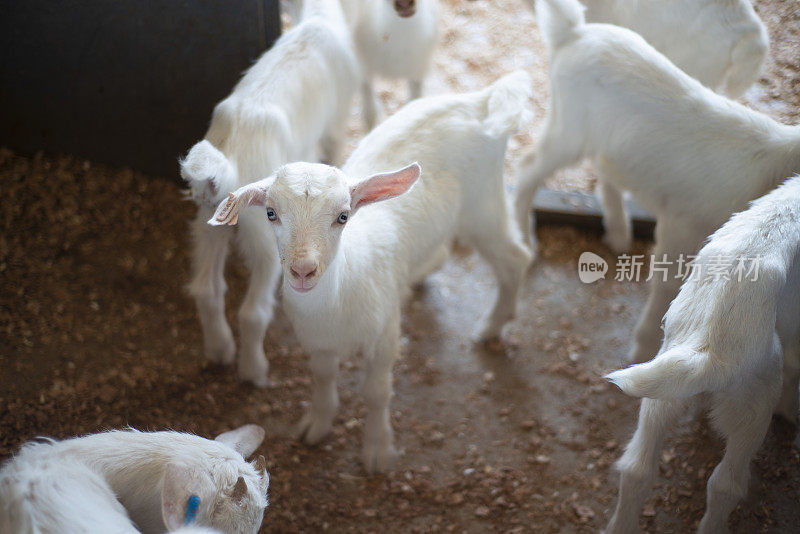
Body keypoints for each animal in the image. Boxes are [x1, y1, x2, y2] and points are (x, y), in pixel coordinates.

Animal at [183, 0, 358, 388]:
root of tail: (228, 163)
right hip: (265, 242)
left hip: (207, 223)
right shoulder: (336, 122)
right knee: (252, 312)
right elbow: (335, 152)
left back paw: (219, 350)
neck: (319, 16)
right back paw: (253, 371)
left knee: (206, 290)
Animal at [212, 70, 536, 474]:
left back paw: (491, 326)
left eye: (343, 216)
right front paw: (317, 423)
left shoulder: (385, 334)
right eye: (270, 213)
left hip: (483, 206)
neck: (339, 296)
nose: (303, 270)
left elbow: (377, 392)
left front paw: (378, 450)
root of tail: (481, 100)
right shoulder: (317, 340)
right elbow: (323, 378)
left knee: (516, 258)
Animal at [512, 0, 800, 364]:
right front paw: (641, 352)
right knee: (527, 167)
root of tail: (574, 32)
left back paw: (618, 233)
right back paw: (526, 239)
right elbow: (666, 287)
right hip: (569, 129)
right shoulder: (683, 227)